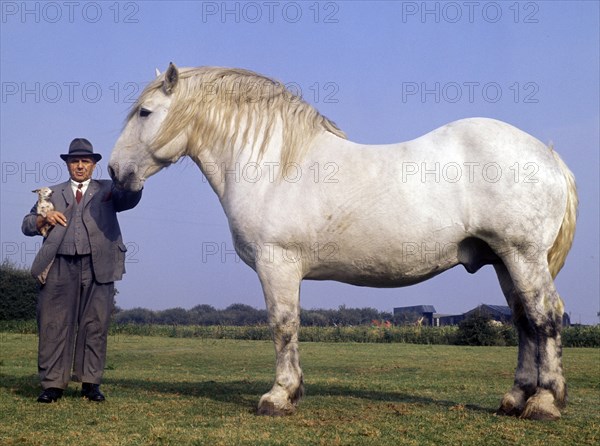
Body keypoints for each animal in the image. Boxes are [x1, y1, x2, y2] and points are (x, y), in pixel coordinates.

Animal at [108, 64, 576, 420]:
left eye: (145, 112)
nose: (114, 171)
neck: (274, 165)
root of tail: (549, 156)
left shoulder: (277, 265)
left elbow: (282, 325)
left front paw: (278, 396)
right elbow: (290, 327)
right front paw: (293, 392)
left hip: (522, 256)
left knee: (546, 318)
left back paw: (544, 403)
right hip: (503, 261)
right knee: (524, 321)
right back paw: (515, 399)